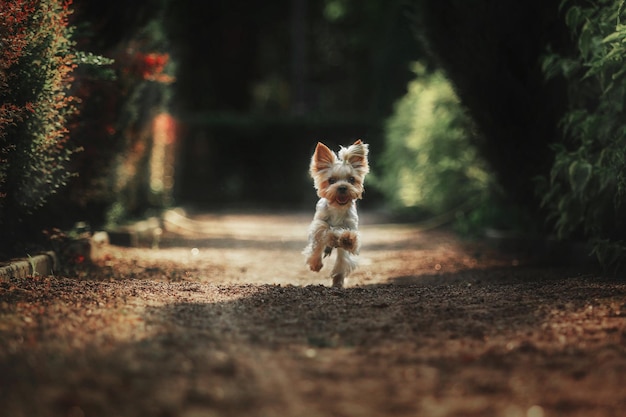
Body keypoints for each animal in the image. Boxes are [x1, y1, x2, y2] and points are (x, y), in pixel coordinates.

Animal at [302, 139, 366, 286]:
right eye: (331, 180)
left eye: (351, 179)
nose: (342, 187)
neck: (338, 208)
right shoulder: (319, 223)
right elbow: (324, 232)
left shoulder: (351, 225)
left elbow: (345, 254)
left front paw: (347, 238)